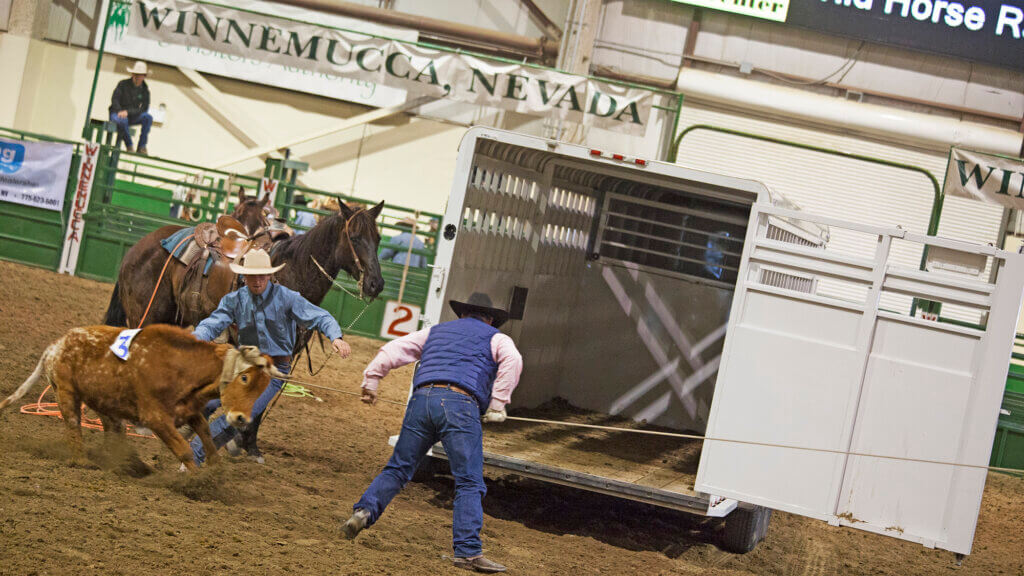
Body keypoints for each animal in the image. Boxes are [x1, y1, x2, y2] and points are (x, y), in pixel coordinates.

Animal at [0, 323, 282, 471]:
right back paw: (83, 461)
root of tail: (54, 347)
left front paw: (215, 471)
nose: (241, 418)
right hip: (67, 393)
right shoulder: (155, 418)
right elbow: (183, 449)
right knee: (73, 427)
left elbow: (206, 436)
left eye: (263, 386)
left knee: (112, 430)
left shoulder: (189, 410)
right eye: (244, 378)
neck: (182, 368)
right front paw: (200, 482)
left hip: (105, 404)